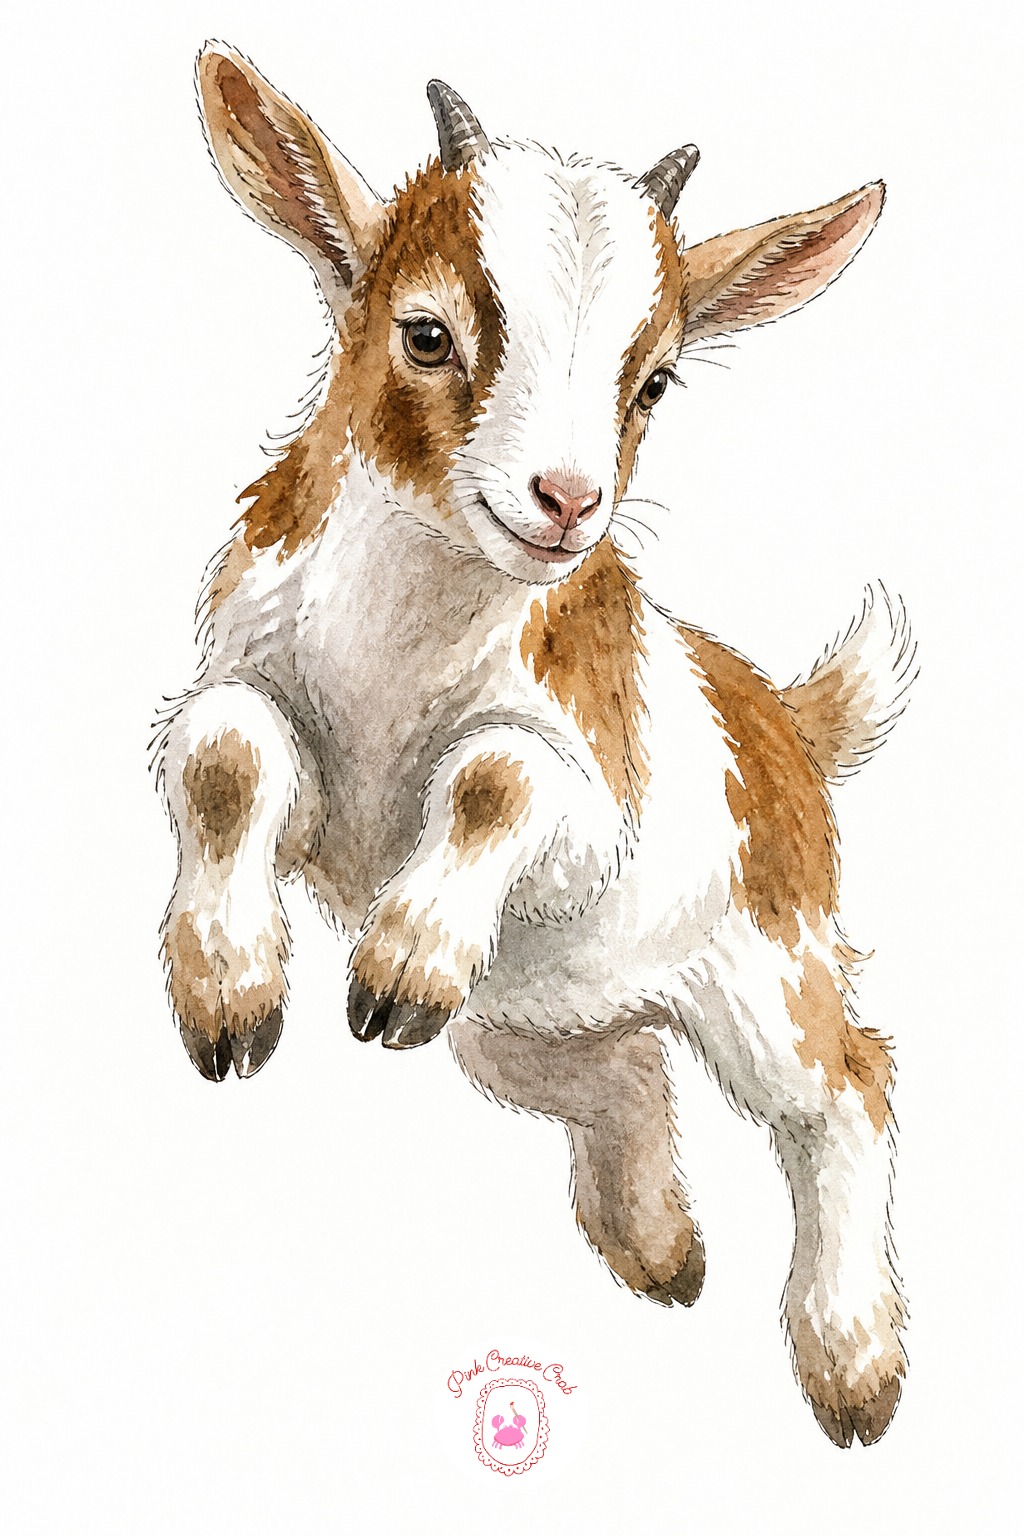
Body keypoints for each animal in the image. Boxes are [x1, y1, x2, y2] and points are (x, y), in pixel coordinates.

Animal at [156, 43, 915, 1448]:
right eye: (427, 333)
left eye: (653, 381)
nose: (566, 505)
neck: (402, 651)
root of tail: (784, 720)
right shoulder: (287, 749)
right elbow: (223, 747)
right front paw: (229, 992)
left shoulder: (592, 805)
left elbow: (499, 772)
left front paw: (390, 953)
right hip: (516, 1019)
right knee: (621, 1069)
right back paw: (659, 1249)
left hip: (766, 972)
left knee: (846, 1087)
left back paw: (852, 1360)